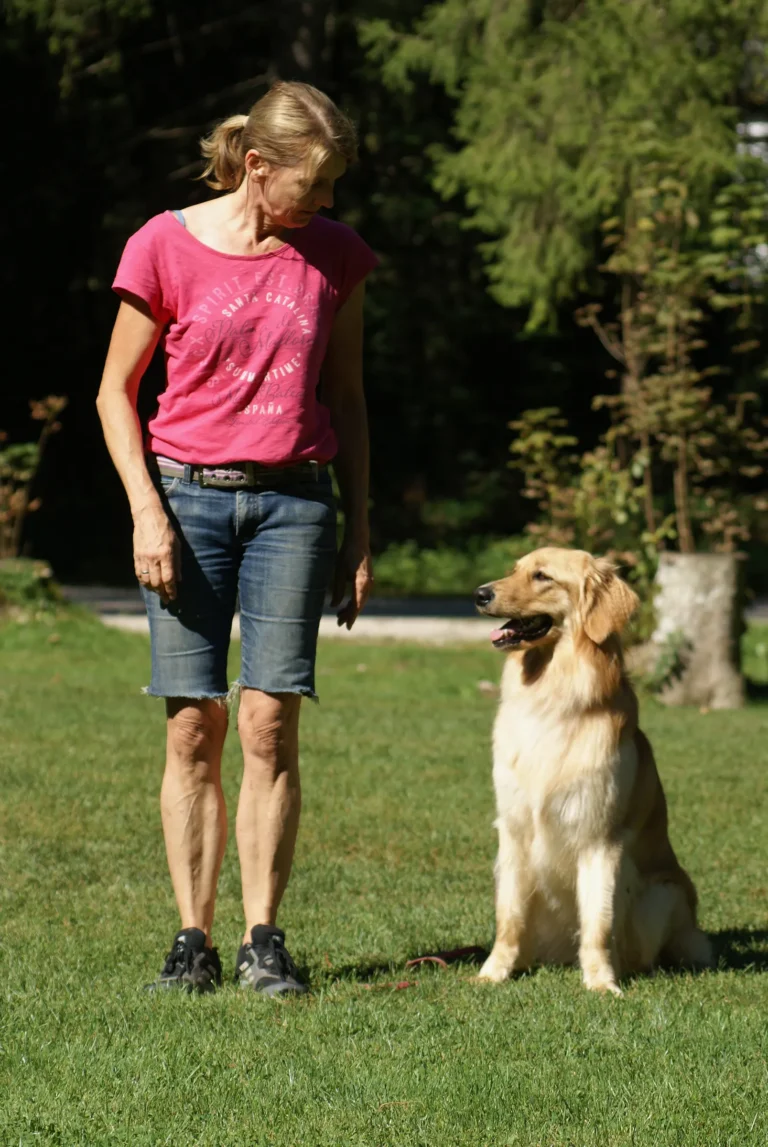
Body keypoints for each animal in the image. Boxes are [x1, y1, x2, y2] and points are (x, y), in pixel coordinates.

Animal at [474, 545, 715, 995]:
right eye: (515, 569)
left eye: (542, 576)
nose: (480, 594)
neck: (553, 699)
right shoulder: (513, 830)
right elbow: (509, 916)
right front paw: (493, 972)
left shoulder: (600, 837)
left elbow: (598, 922)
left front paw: (601, 982)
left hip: (664, 892)